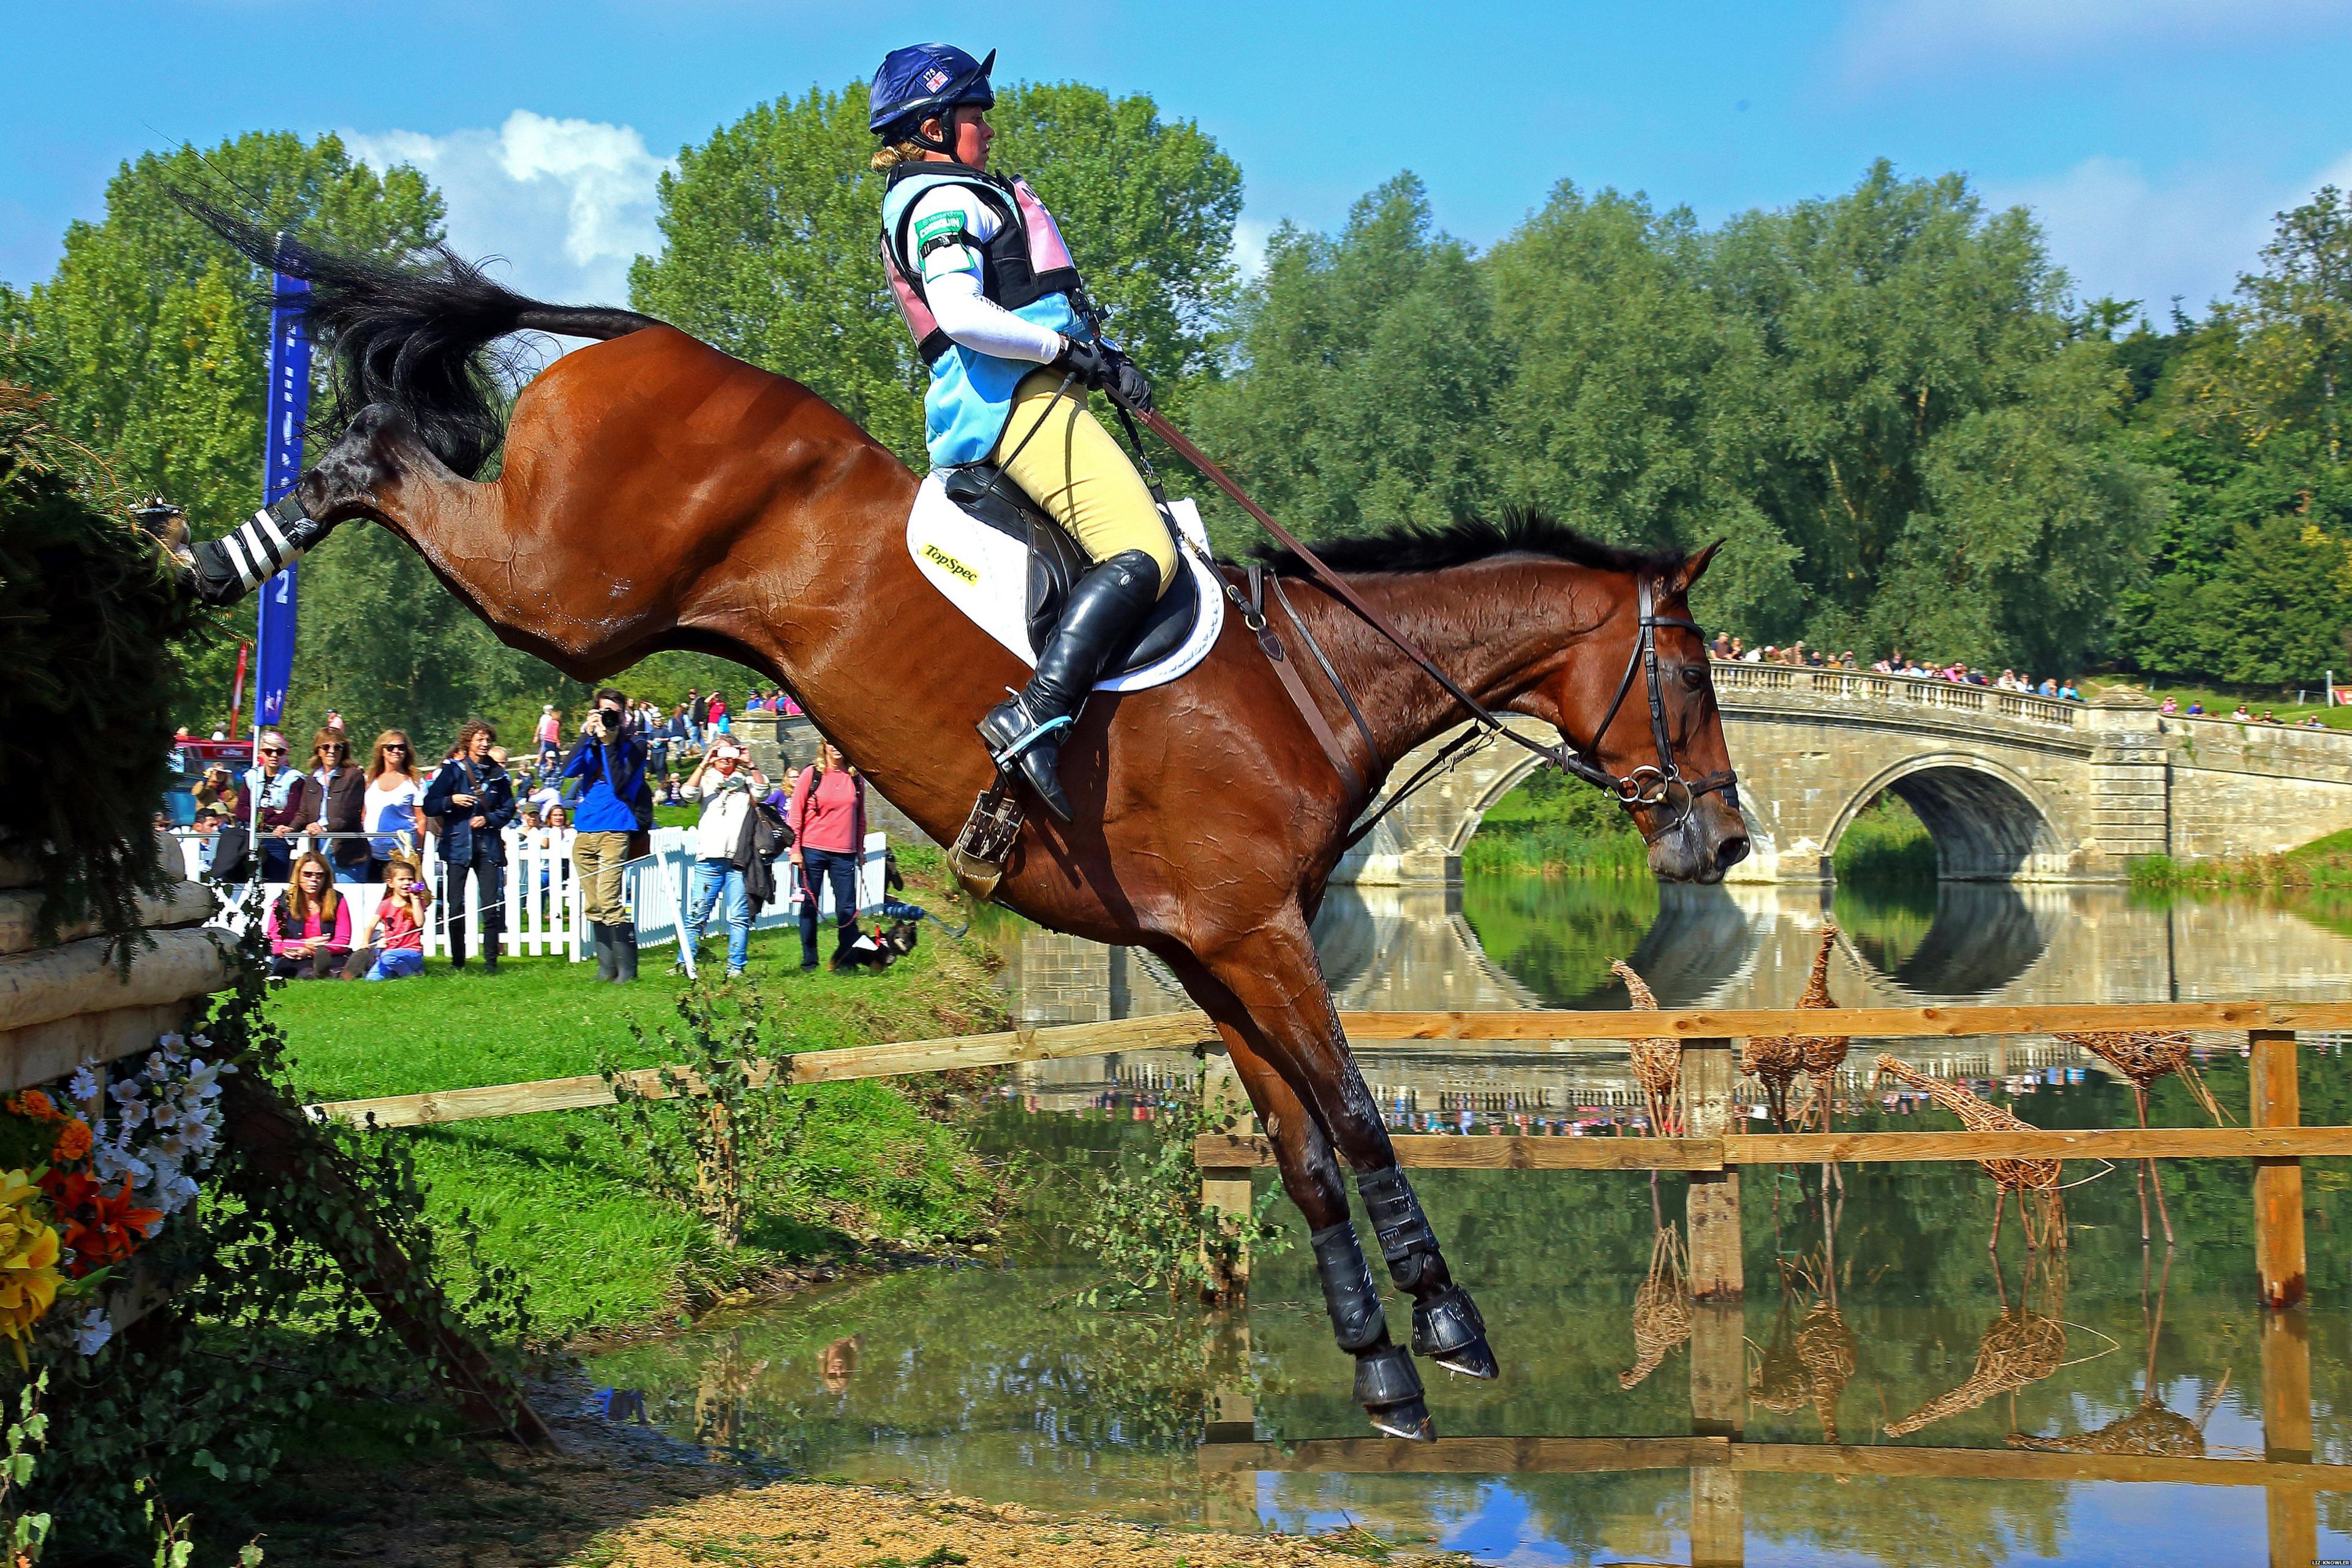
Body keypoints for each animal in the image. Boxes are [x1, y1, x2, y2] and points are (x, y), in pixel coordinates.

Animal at [174, 217, 1749, 1438]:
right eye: (1688, 677)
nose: (1726, 841)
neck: (1312, 685)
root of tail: (645, 335)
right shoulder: (1259, 932)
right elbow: (1357, 1109)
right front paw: (1449, 1323)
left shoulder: (1211, 947)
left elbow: (1299, 1144)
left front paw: (1378, 1364)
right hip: (573, 595)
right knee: (391, 462)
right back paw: (224, 547)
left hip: (587, 601)